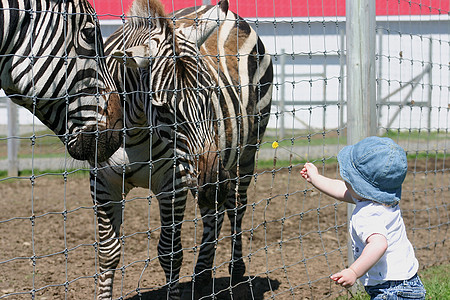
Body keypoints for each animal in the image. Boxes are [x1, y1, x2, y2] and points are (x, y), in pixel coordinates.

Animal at [93, 0, 272, 298]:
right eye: (164, 108)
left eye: (211, 94)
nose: (214, 182)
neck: (134, 132)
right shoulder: (102, 182)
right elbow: (108, 253)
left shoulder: (173, 183)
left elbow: (170, 252)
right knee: (213, 213)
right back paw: (202, 274)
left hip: (245, 153)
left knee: (235, 207)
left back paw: (236, 270)